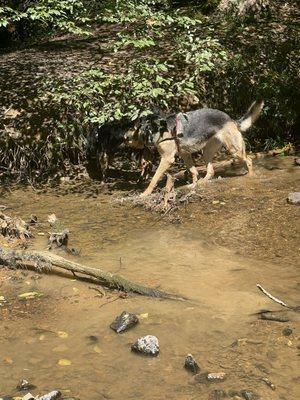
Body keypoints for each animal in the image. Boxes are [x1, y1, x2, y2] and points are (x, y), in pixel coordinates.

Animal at [125, 100, 264, 197]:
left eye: (131, 127)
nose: (124, 137)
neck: (157, 130)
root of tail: (231, 119)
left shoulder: (167, 159)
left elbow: (153, 179)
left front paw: (145, 193)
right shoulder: (185, 155)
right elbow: (193, 171)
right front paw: (193, 185)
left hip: (234, 150)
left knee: (249, 160)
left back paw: (250, 176)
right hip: (207, 153)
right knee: (212, 171)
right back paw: (203, 181)